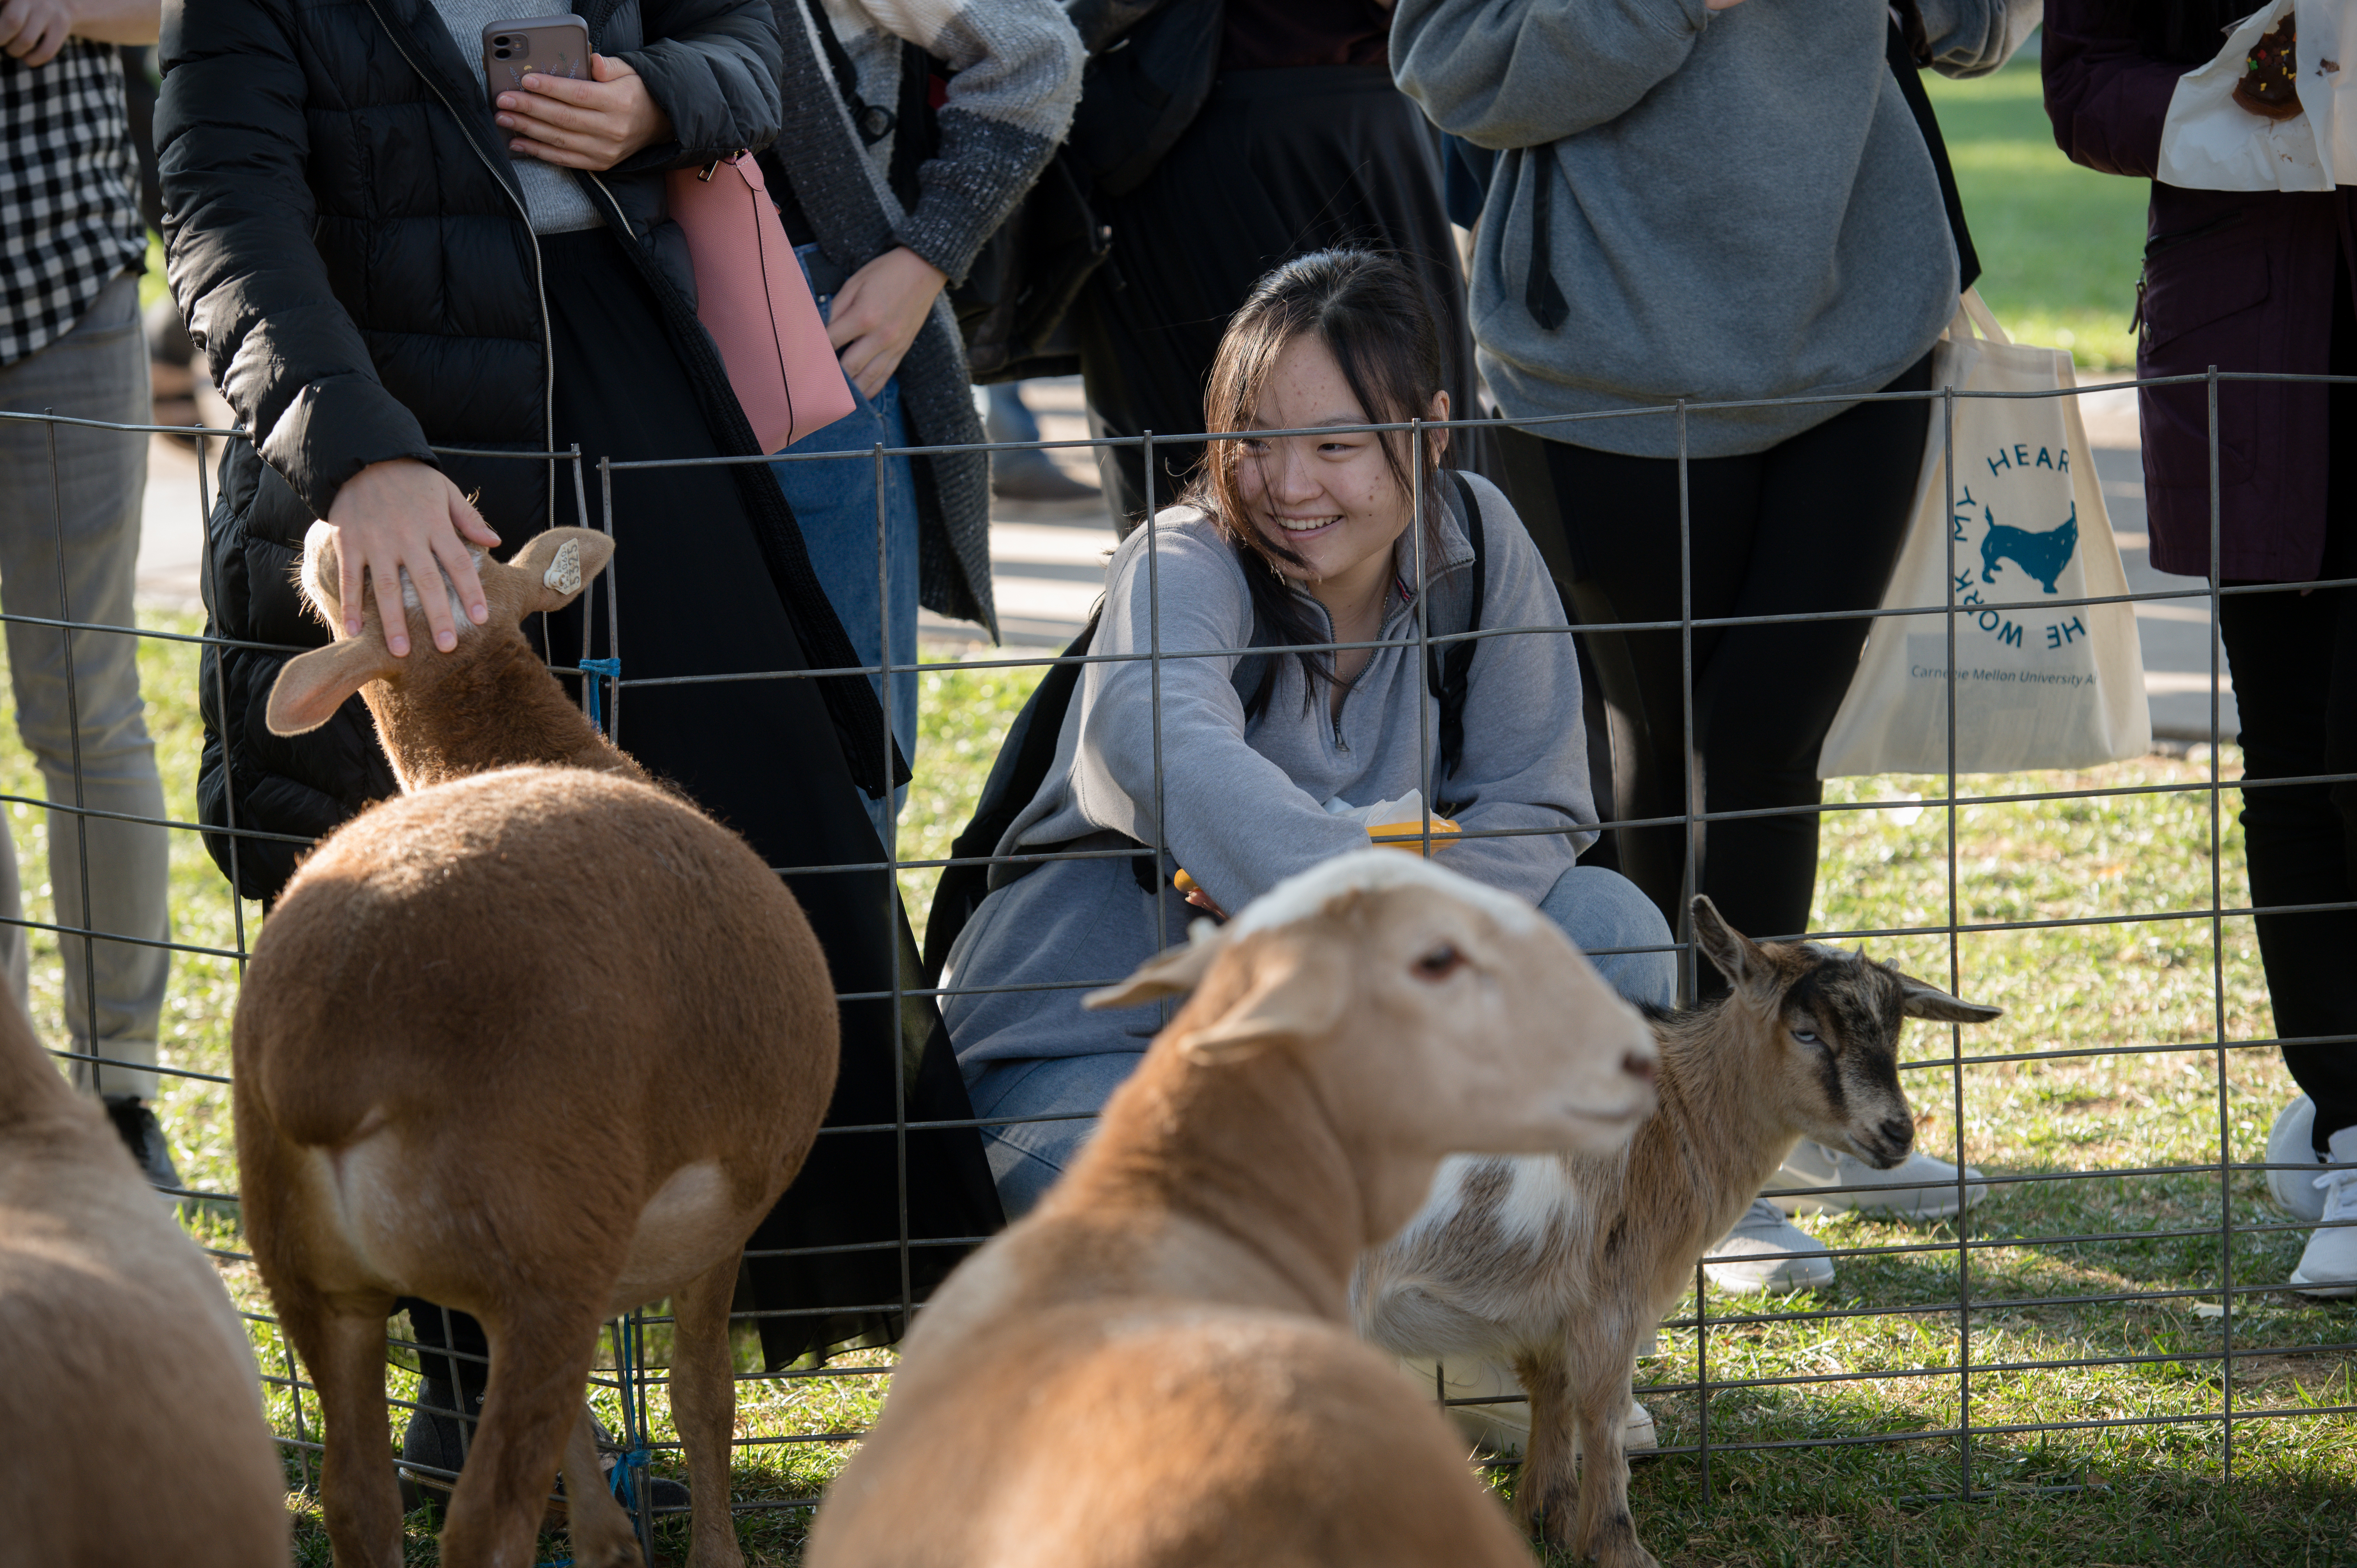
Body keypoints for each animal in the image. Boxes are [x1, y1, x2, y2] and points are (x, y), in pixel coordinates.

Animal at [239, 528, 844, 1565]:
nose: (324, 532)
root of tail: (329, 1042)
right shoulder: (727, 1210)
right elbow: (703, 1392)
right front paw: (713, 1551)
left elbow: (589, 1432)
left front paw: (611, 1541)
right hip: (542, 1250)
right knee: (486, 1521)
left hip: (318, 1277)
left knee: (359, 1500)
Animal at [1357, 891, 1998, 1565]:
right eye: (1806, 1033)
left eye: (1896, 1035)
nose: (1897, 1132)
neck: (1677, 1114)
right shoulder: (1613, 1295)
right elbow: (1603, 1415)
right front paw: (1618, 1548)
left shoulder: (1551, 1310)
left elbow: (1551, 1394)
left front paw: (1546, 1520)